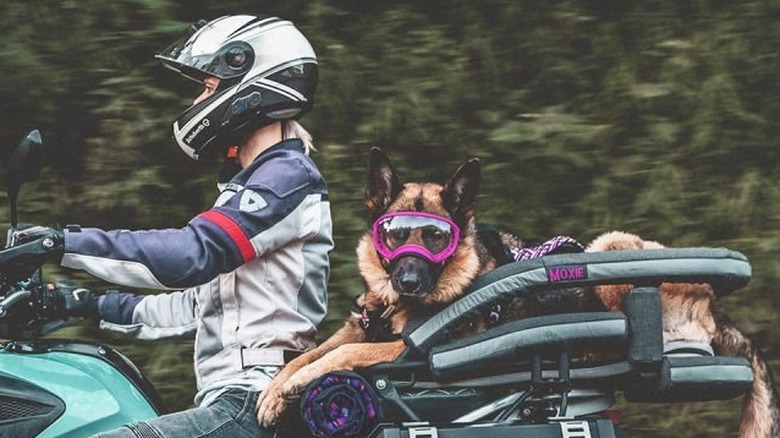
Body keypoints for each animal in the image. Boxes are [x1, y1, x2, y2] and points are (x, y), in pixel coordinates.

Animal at [258, 149, 776, 436]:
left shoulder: (409, 350)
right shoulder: (359, 328)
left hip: (608, 248)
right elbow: (309, 355)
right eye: (395, 234)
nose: (408, 282)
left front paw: (292, 387)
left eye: (436, 238)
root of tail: (716, 306)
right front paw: (275, 391)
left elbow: (337, 358)